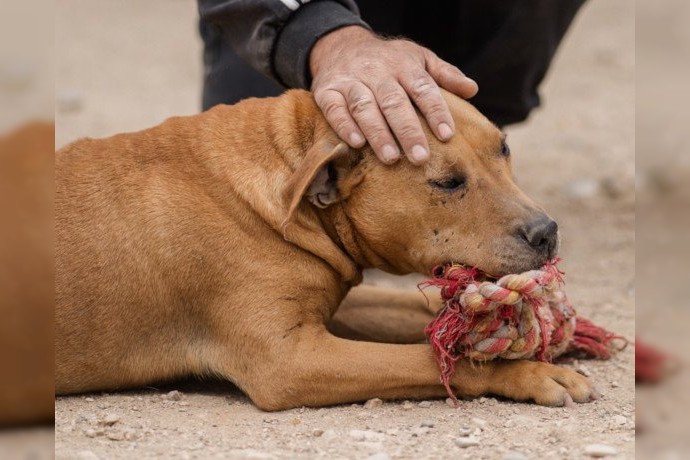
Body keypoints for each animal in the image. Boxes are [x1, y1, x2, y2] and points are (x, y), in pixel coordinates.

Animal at [56, 90, 592, 410]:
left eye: (504, 147)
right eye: (447, 182)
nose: (546, 232)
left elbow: (414, 313)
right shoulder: (289, 362)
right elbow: (441, 361)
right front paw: (529, 373)